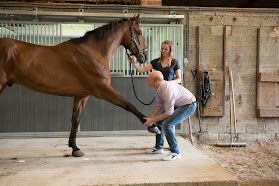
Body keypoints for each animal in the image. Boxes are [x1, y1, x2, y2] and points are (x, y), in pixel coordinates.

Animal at [0, 14, 149, 157]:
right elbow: (128, 105)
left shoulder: (81, 95)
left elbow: (75, 120)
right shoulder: (102, 90)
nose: (145, 56)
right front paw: (150, 124)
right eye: (140, 32)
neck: (93, 52)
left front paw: (75, 148)